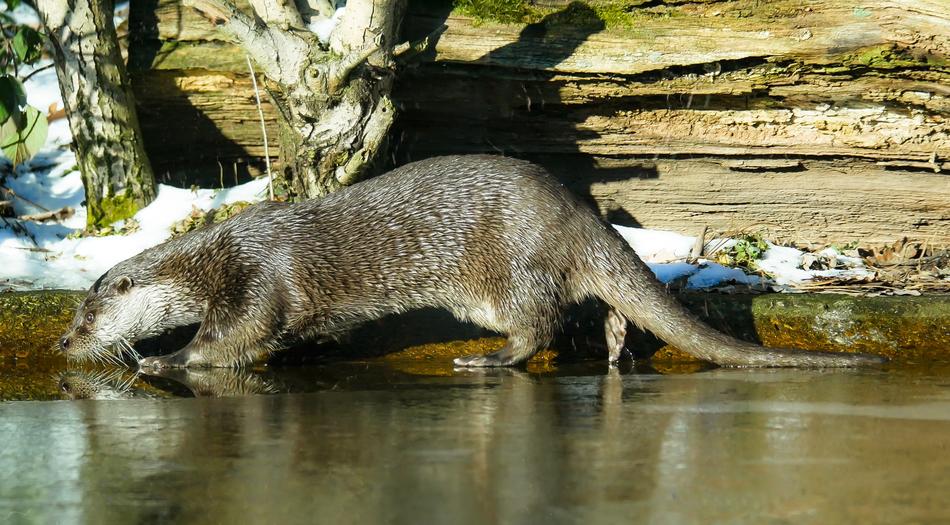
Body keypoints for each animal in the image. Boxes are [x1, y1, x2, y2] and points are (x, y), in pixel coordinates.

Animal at [60, 155, 884, 369]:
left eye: (87, 313)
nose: (63, 342)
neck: (216, 260)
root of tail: (579, 213)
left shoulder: (255, 280)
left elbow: (232, 340)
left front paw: (164, 360)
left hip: (502, 273)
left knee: (539, 325)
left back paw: (488, 361)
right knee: (596, 302)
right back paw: (616, 342)